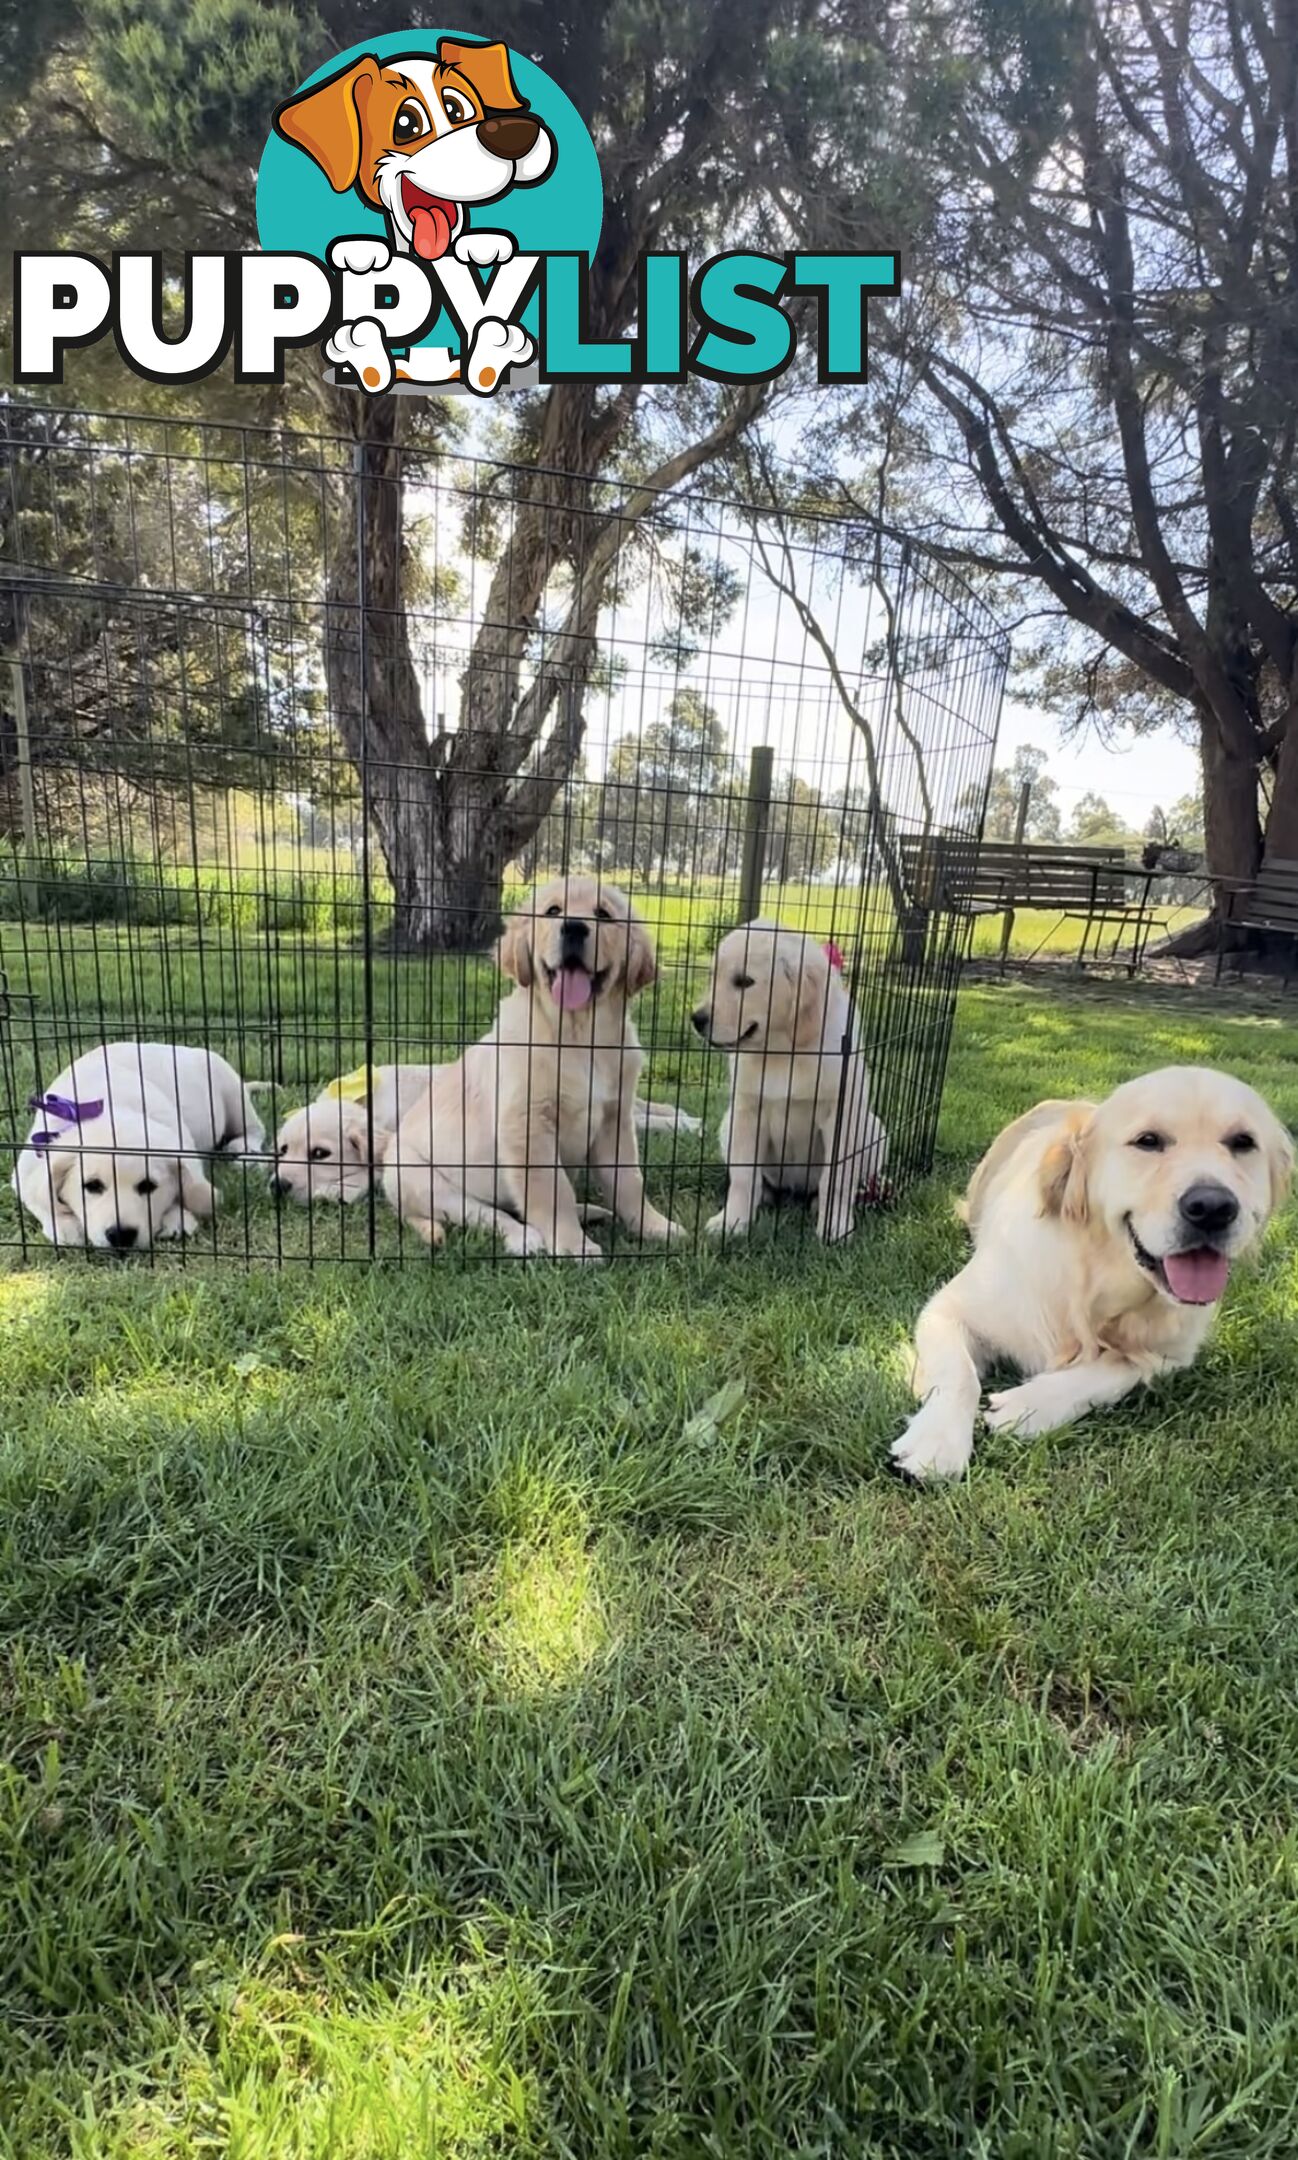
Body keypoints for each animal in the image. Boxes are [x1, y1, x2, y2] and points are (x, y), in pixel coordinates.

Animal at [12, 1041, 264, 1252]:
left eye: (147, 1186)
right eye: (92, 1186)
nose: (120, 1235)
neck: (110, 1109)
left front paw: (177, 1218)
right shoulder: (25, 1171)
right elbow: (41, 1199)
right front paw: (66, 1227)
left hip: (230, 1089)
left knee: (255, 1128)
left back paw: (245, 1150)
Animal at [384, 872, 682, 1261]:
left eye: (604, 914)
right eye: (552, 911)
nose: (573, 927)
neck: (578, 1036)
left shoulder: (615, 1119)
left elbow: (629, 1180)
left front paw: (654, 1226)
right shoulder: (527, 1126)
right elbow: (552, 1190)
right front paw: (573, 1245)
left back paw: (591, 1211)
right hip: (425, 1182)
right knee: (490, 1214)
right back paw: (526, 1238)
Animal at [686, 920, 889, 1244]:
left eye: (744, 982)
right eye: (712, 976)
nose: (697, 1019)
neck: (783, 1050)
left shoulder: (841, 1116)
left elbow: (836, 1178)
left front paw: (834, 1225)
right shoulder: (747, 1112)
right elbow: (744, 1177)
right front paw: (733, 1221)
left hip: (873, 1129)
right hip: (728, 1125)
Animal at [894, 1067, 1287, 1486]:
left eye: (1243, 1142)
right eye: (1148, 1141)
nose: (1213, 1208)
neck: (1097, 1281)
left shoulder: (1173, 1353)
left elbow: (1117, 1368)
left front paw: (1028, 1405)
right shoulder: (947, 1309)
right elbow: (960, 1374)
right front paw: (936, 1444)